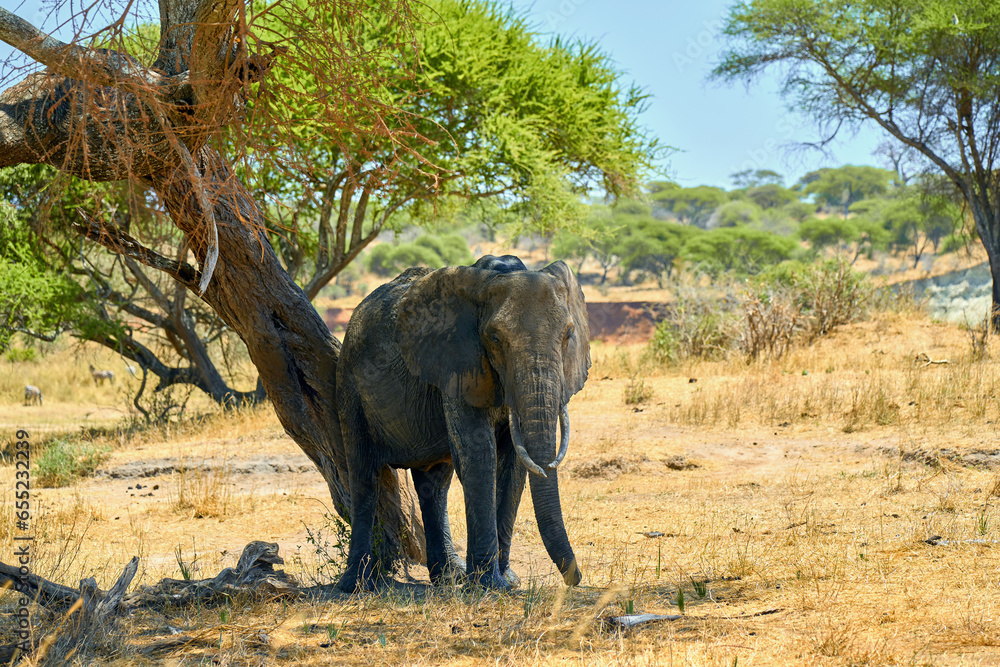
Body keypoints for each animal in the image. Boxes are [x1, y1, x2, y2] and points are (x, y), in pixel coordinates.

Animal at [334, 255, 591, 592]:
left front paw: (507, 581)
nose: (575, 579)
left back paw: (448, 576)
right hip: (349, 384)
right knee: (363, 476)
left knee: (434, 485)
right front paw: (489, 585)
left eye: (568, 335)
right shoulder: (458, 364)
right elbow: (478, 453)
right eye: (495, 338)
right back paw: (356, 584)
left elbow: (514, 464)